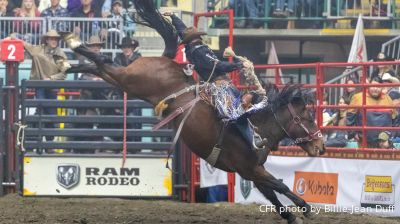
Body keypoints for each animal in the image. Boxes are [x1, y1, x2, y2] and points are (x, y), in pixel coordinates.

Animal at [62, 0, 324, 222]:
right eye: (307, 117)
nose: (321, 146)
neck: (257, 126)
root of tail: (165, 59)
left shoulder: (251, 172)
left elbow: (271, 193)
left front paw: (291, 215)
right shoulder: (250, 168)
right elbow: (280, 185)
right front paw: (306, 208)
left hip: (126, 82)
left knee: (101, 67)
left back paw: (66, 65)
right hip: (132, 79)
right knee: (103, 63)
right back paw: (73, 47)